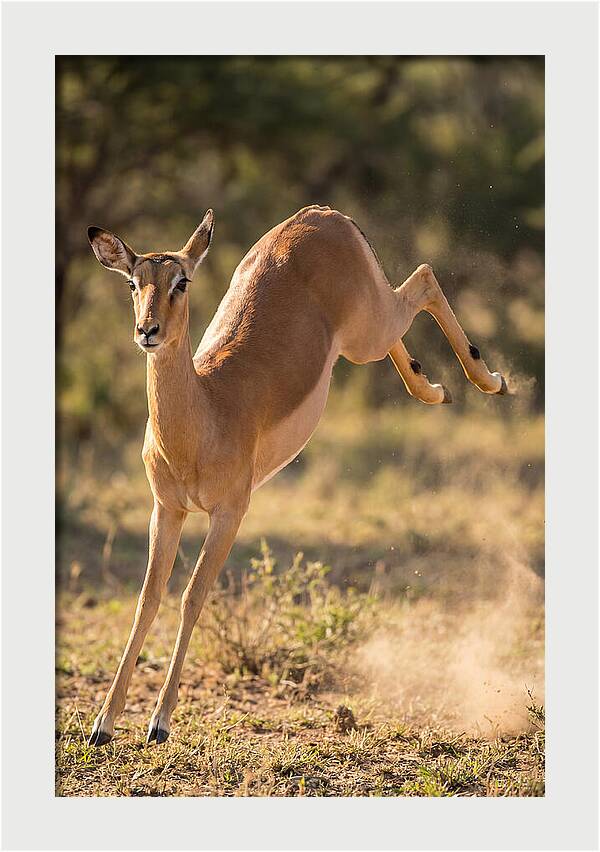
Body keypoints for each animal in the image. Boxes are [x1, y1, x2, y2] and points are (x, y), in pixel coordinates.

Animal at [86, 205, 507, 747]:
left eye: (182, 281)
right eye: (133, 282)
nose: (147, 331)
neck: (205, 413)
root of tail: (323, 214)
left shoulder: (230, 512)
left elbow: (192, 596)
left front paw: (159, 722)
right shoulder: (167, 509)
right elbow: (146, 600)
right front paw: (103, 723)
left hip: (367, 330)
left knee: (425, 277)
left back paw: (490, 380)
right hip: (364, 334)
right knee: (411, 307)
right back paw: (435, 388)